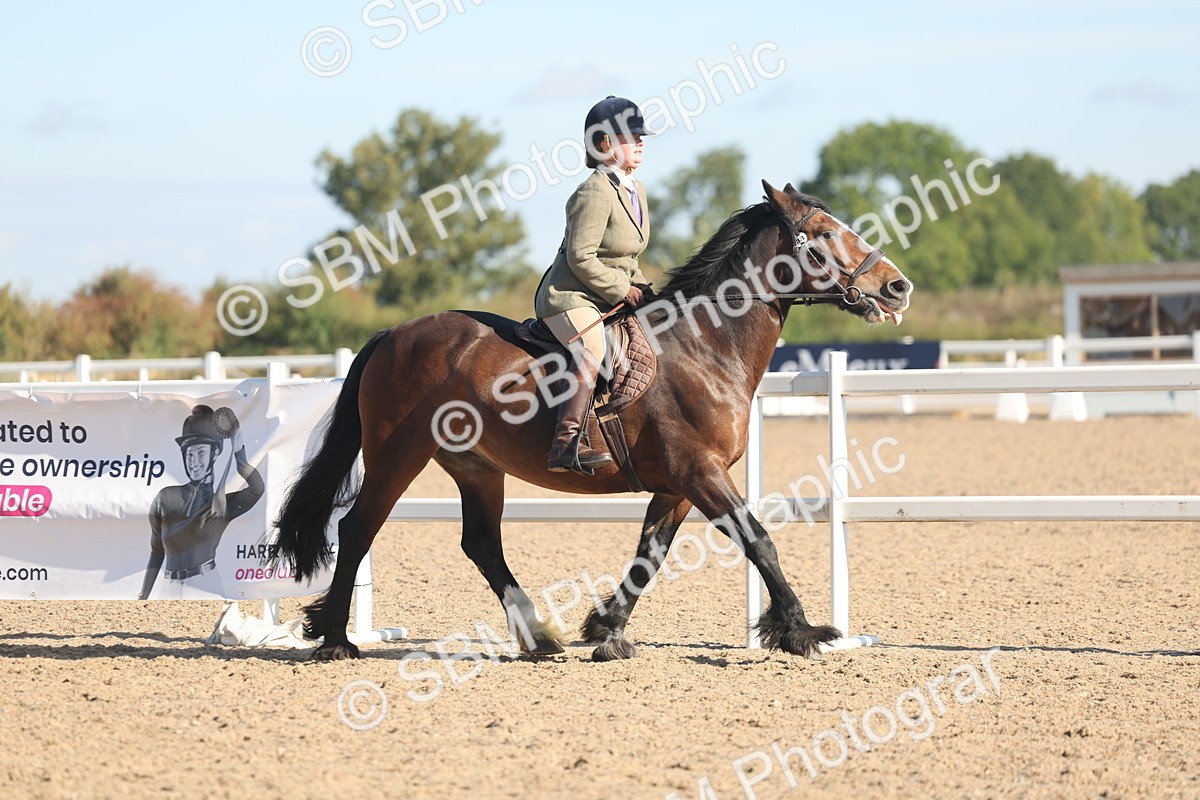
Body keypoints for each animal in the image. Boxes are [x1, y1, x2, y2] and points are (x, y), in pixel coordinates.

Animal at [273, 180, 914, 662]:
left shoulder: (677, 485)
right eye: (826, 234)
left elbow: (650, 555)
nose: (897, 286)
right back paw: (335, 640)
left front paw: (607, 631)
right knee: (358, 528)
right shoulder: (700, 472)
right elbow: (760, 541)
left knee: (481, 543)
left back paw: (537, 636)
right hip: (396, 455)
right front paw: (803, 633)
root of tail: (392, 334)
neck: (705, 346)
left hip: (476, 467)